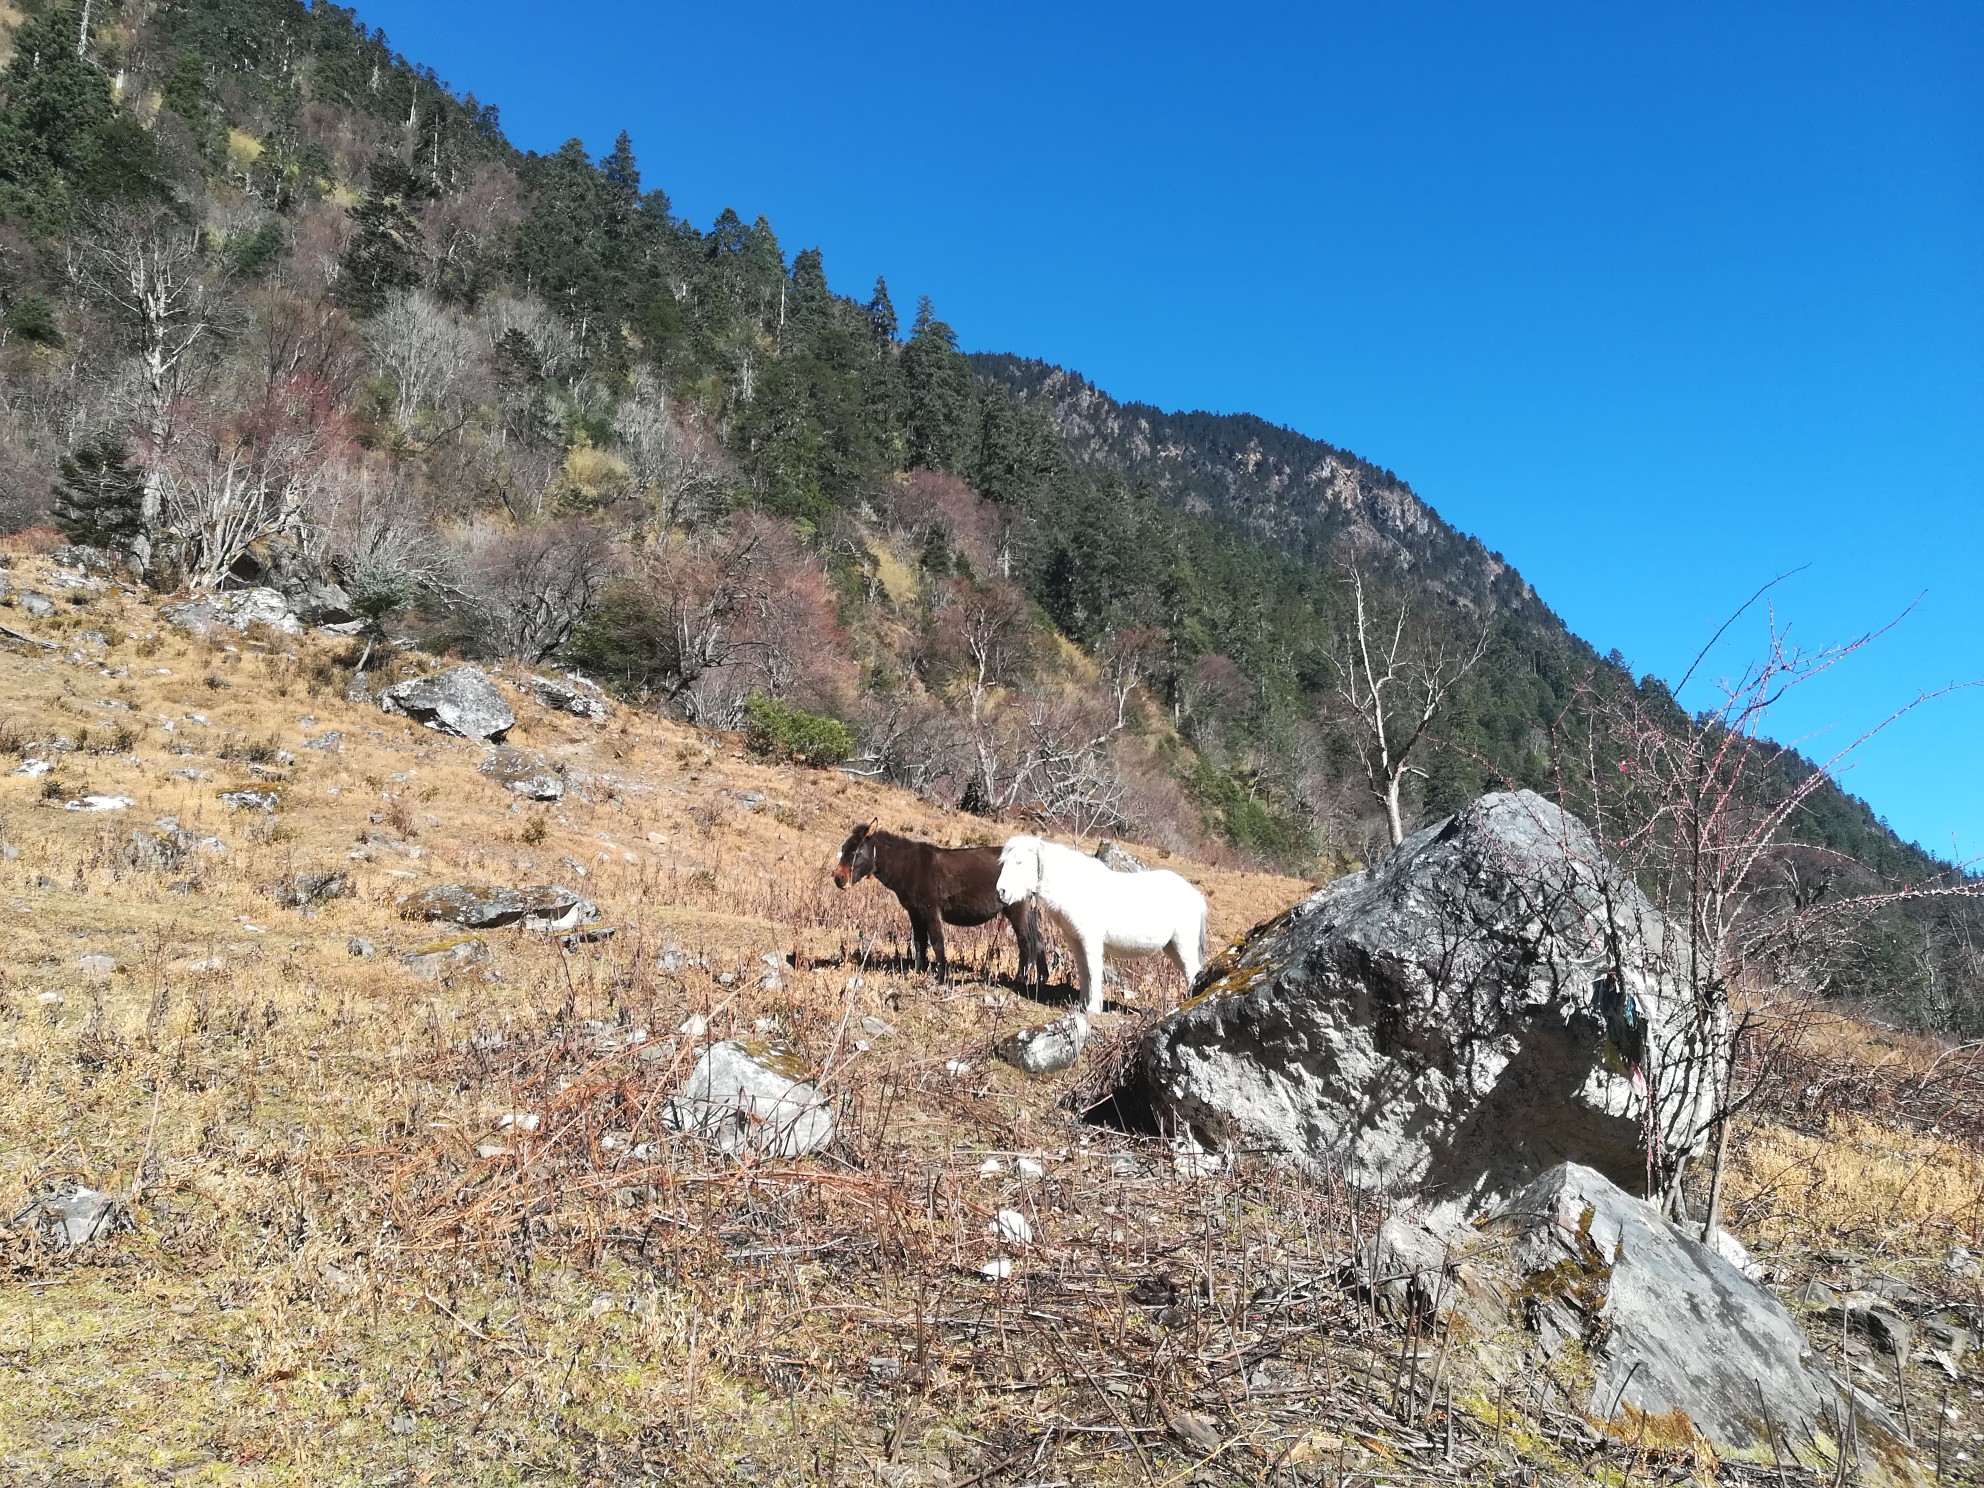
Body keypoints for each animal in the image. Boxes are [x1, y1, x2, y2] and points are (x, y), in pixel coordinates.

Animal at [837, 821, 1055, 984]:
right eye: (843, 848)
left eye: (857, 852)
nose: (838, 879)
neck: (907, 867)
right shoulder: (915, 912)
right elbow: (919, 942)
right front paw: (919, 971)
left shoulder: (930, 909)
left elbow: (936, 941)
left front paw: (941, 977)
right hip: (1028, 909)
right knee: (1039, 939)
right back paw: (1041, 979)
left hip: (1016, 908)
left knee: (1025, 941)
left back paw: (1020, 979)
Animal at [992, 833, 1206, 1023]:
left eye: (1019, 862)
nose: (1001, 892)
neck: (1073, 887)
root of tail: (1197, 897)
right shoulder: (1075, 939)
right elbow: (1083, 970)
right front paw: (1081, 1005)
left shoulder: (1090, 938)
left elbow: (1093, 970)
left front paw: (1093, 1008)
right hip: (1171, 946)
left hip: (1183, 943)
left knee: (1192, 971)